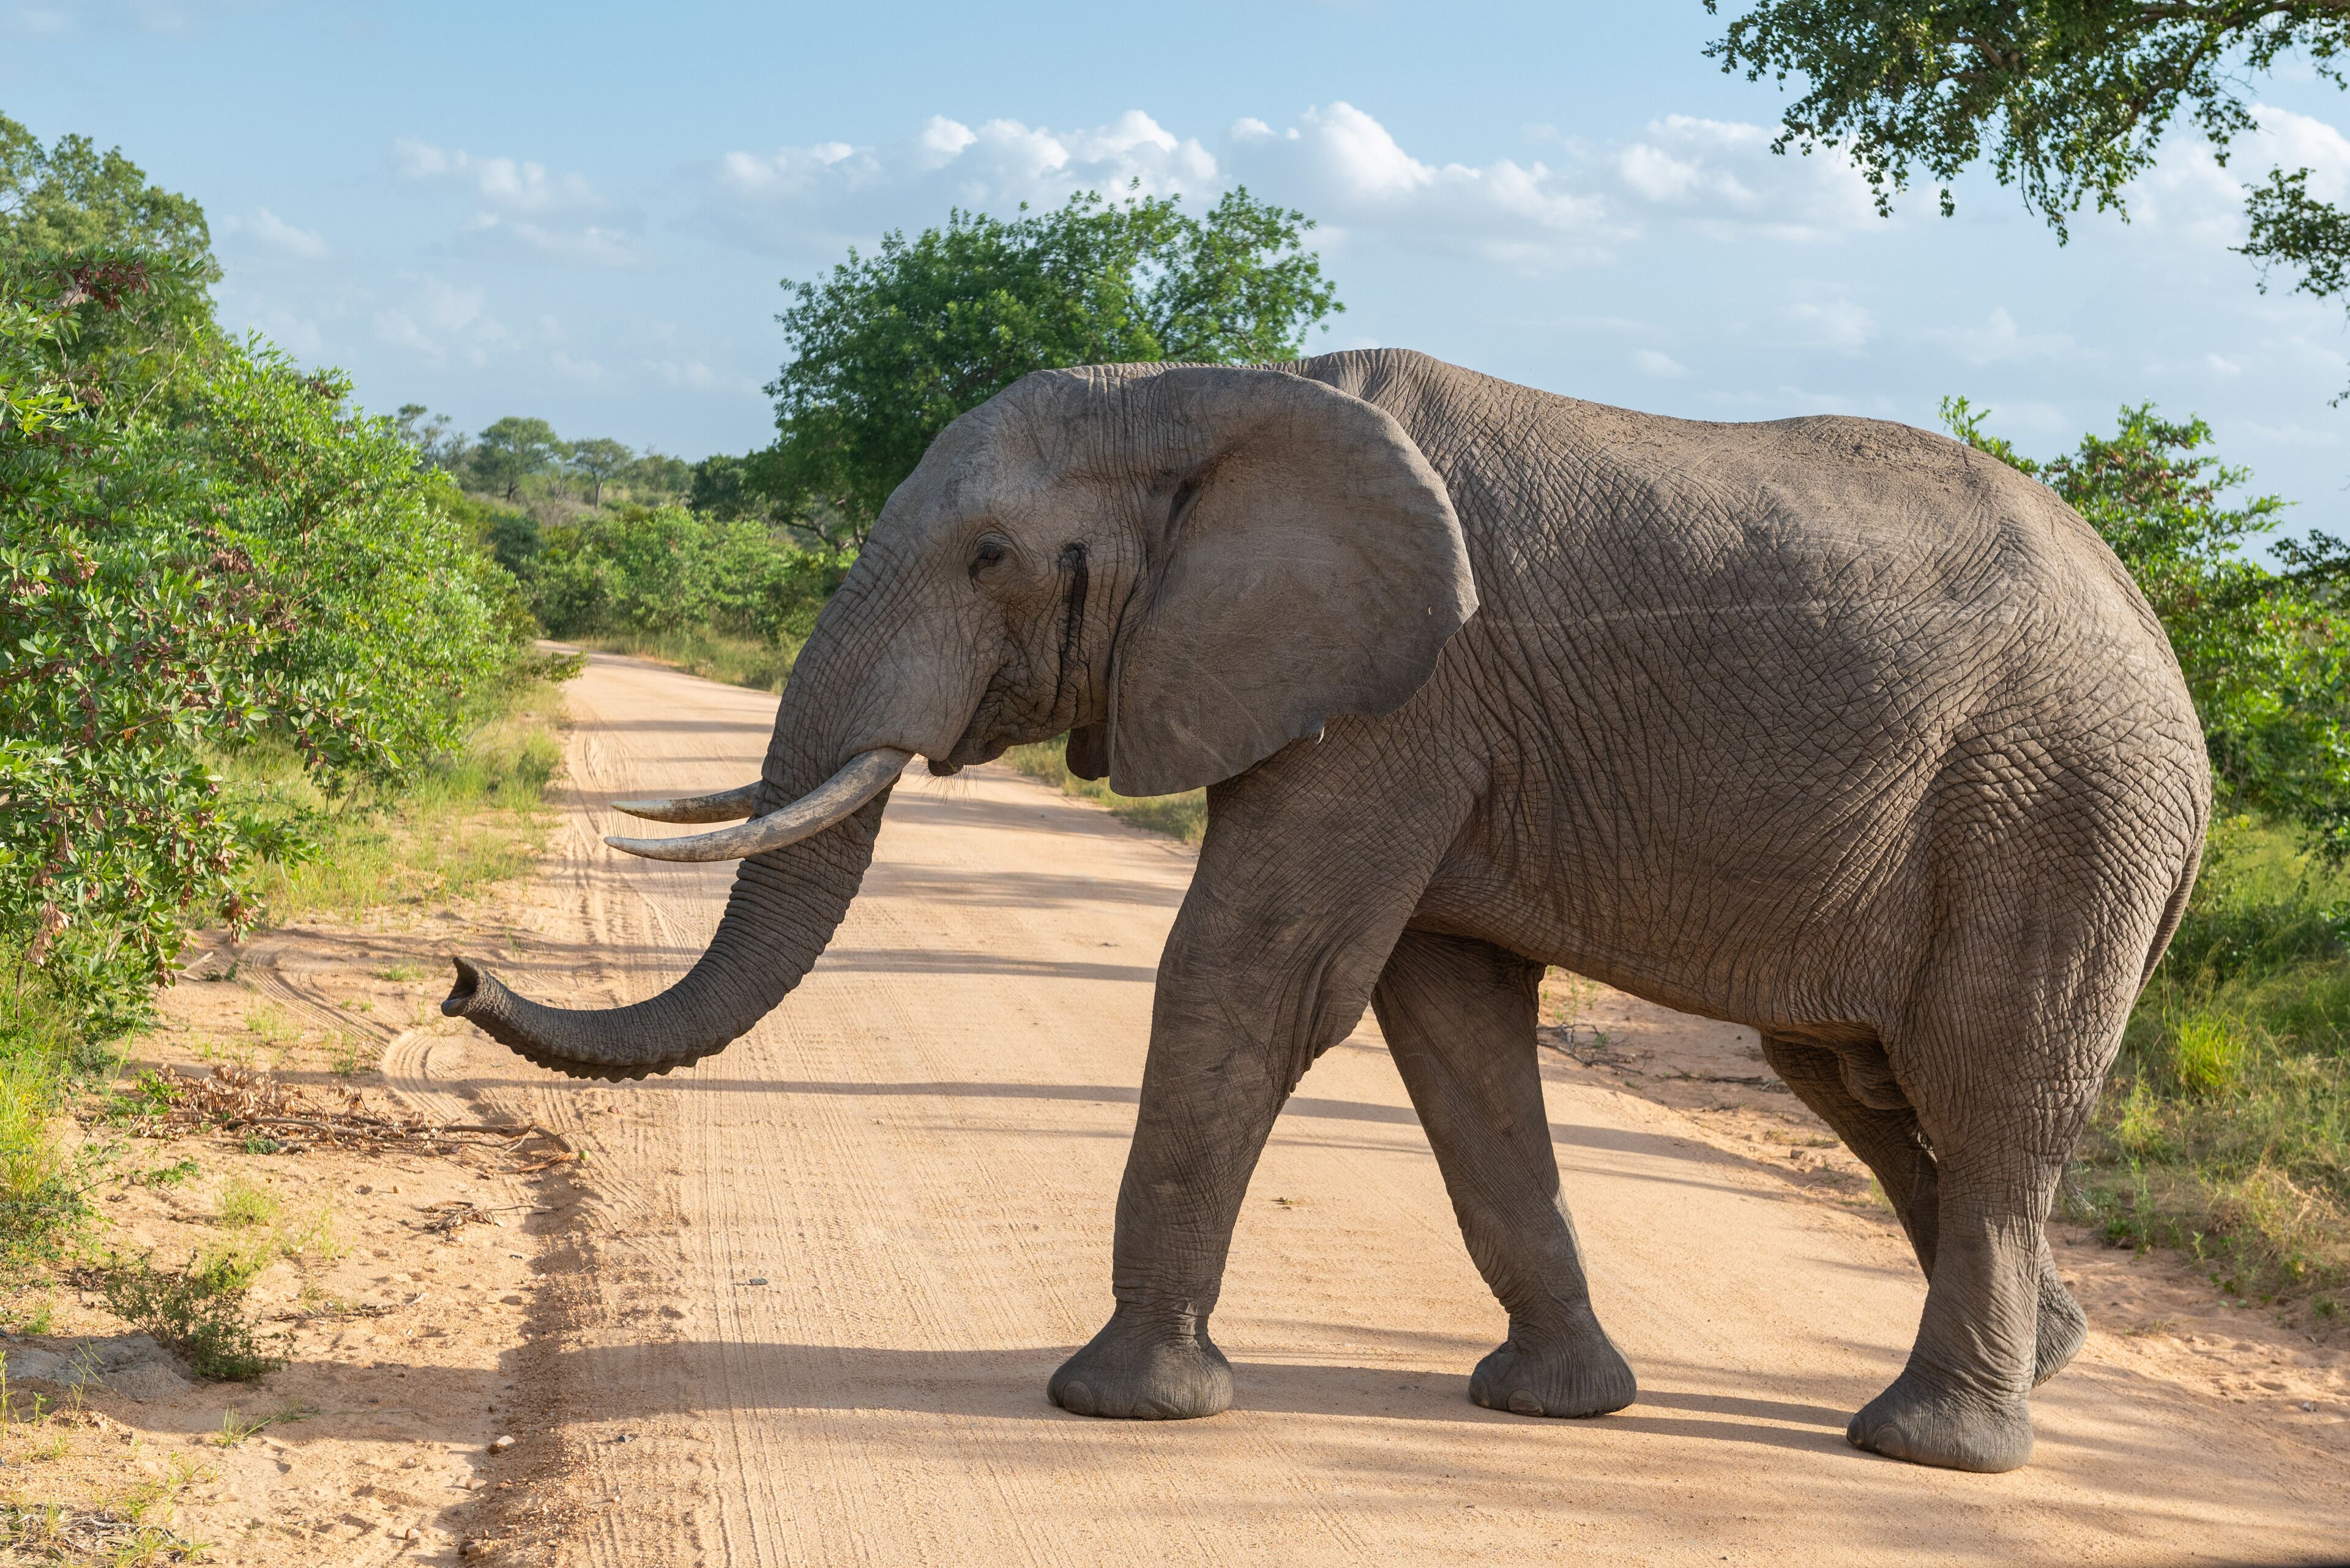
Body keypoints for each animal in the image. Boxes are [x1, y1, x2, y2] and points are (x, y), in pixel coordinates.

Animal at [444, 349, 2208, 1474]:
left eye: (994, 555)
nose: (460, 979)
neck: (1208, 391)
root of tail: (2162, 648)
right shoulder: (1414, 714)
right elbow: (1447, 1023)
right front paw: (1552, 1409)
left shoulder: (1399, 697)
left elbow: (1258, 974)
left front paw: (1119, 1407)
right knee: (1861, 1082)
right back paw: (2046, 1364)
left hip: (2058, 808)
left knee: (1984, 1081)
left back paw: (1940, 1447)